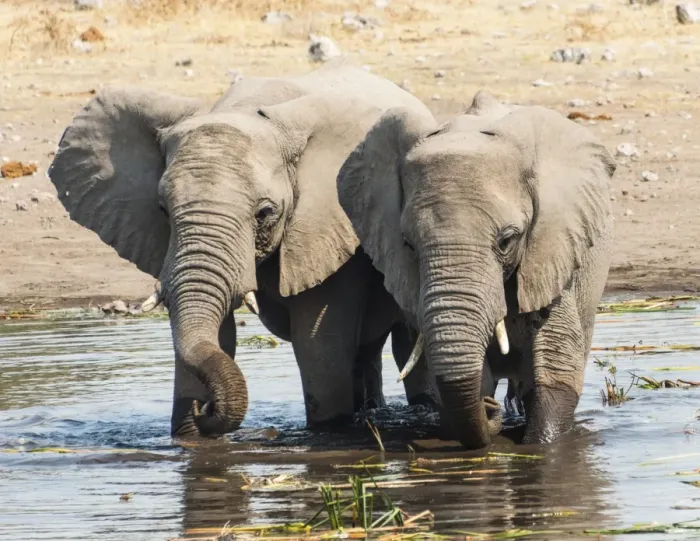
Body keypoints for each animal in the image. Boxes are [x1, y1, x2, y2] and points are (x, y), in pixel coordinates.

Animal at [47, 58, 437, 438]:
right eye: (162, 210)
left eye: (265, 214)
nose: (203, 409)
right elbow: (220, 332)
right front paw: (190, 437)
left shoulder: (325, 227)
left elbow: (318, 343)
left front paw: (328, 431)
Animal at [338, 91, 617, 449]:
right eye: (408, 245)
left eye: (507, 240)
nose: (489, 408)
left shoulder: (551, 249)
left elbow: (557, 360)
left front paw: (541, 445)